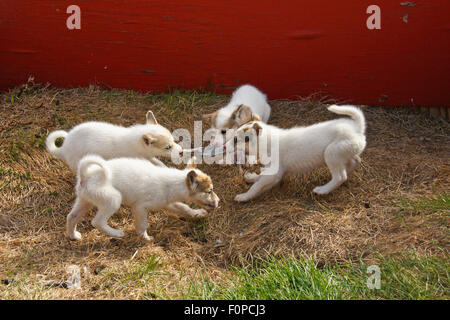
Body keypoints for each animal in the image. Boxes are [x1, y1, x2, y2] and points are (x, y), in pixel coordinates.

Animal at [67, 156, 220, 241]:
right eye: (209, 191)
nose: (219, 201)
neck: (173, 183)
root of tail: (85, 175)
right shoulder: (140, 207)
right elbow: (142, 226)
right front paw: (146, 238)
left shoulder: (167, 203)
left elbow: (184, 208)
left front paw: (197, 214)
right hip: (113, 200)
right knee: (97, 222)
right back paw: (117, 233)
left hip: (85, 201)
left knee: (71, 217)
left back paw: (73, 236)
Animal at [227, 104, 368, 201]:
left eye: (236, 140)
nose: (224, 146)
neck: (266, 141)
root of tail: (357, 127)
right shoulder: (274, 172)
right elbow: (260, 177)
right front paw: (251, 177)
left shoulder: (274, 173)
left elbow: (256, 186)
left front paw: (244, 196)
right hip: (344, 153)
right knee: (353, 162)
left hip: (331, 153)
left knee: (340, 177)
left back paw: (323, 190)